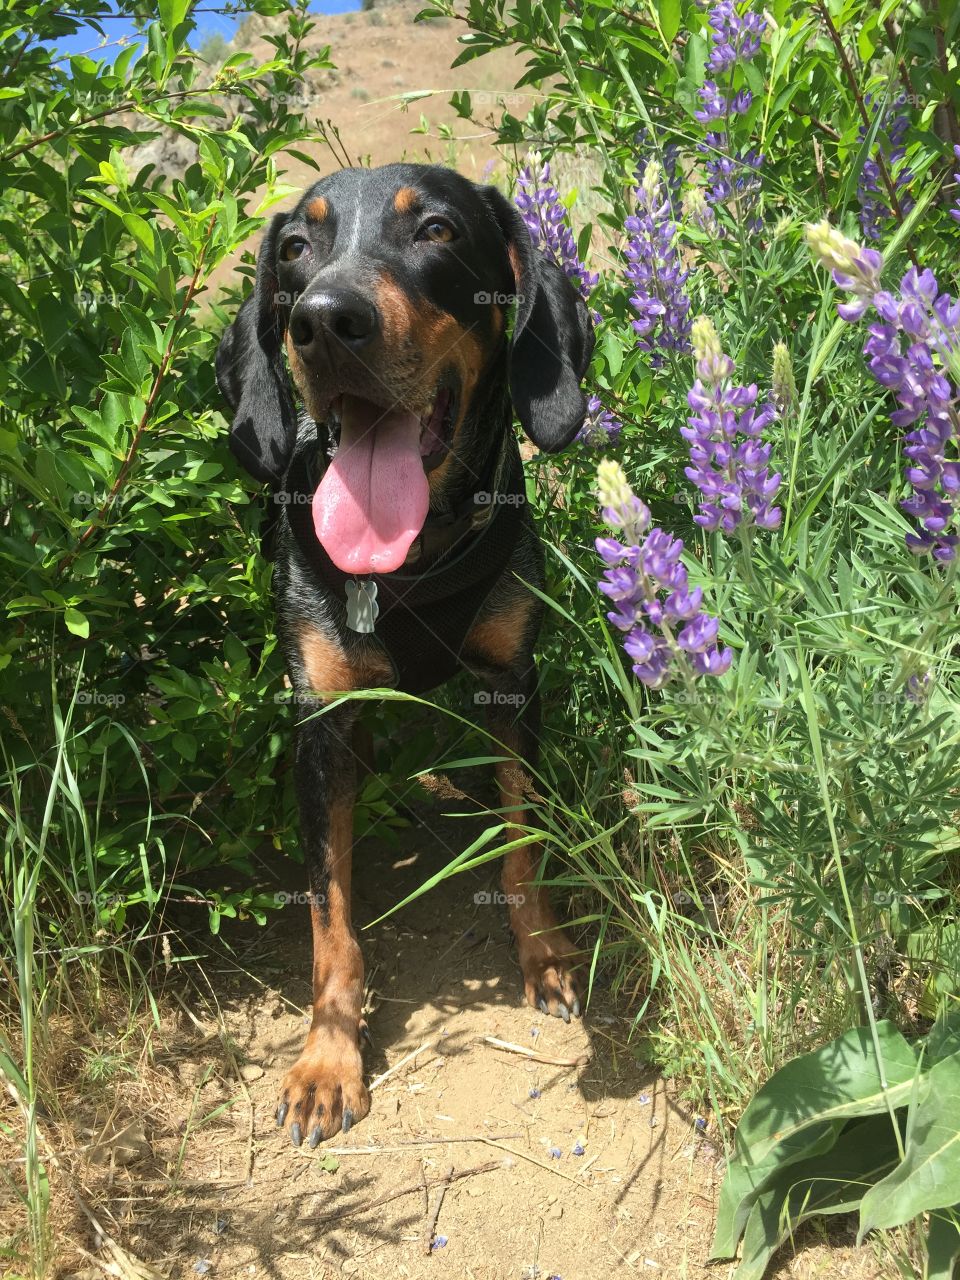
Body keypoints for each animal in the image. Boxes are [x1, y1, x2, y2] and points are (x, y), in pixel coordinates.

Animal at [216, 162, 593, 1152]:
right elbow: (330, 915)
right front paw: (327, 1058)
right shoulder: (320, 721)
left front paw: (544, 954)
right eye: (294, 247)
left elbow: (523, 844)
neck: (410, 566)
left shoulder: (512, 684)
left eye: (436, 230)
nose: (323, 319)